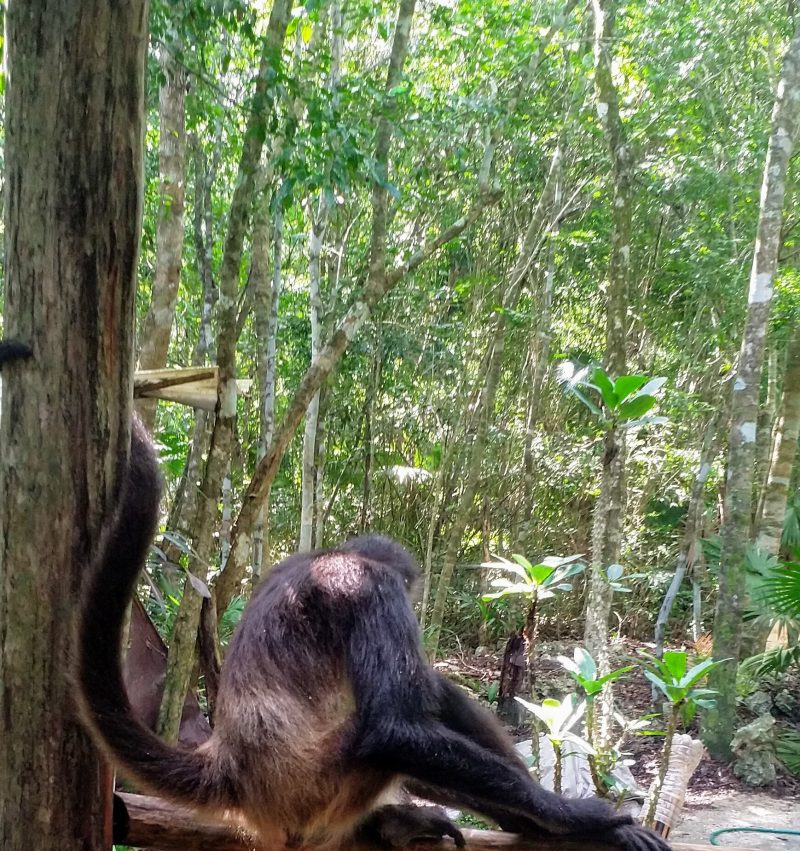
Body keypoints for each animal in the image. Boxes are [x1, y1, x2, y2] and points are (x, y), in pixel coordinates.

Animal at [73, 418, 670, 851]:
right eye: (404, 585)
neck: (330, 556)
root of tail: (232, 766)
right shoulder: (373, 588)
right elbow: (391, 729)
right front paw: (572, 815)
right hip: (318, 787)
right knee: (412, 706)